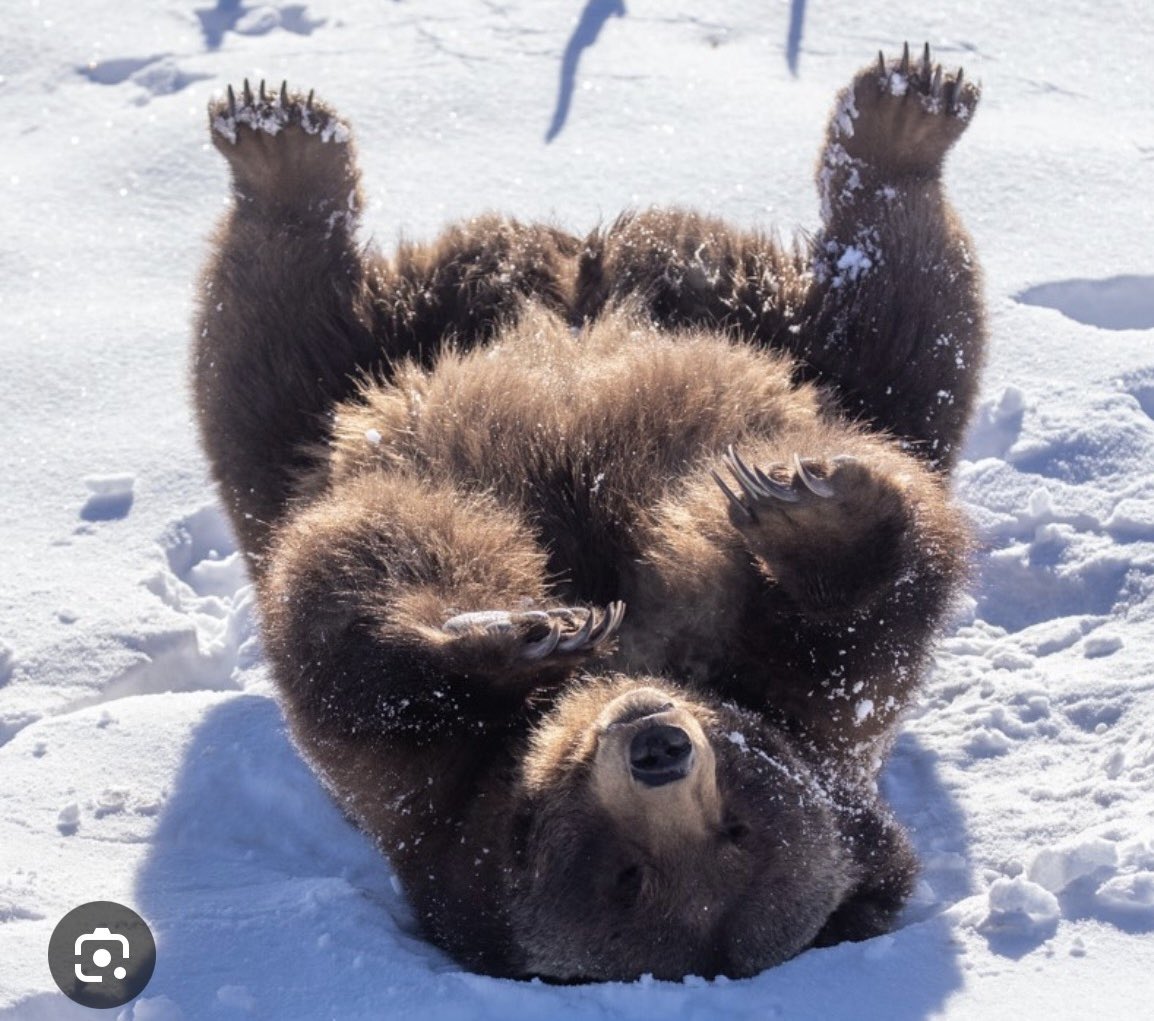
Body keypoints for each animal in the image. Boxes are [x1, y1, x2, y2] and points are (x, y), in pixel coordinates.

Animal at [192, 44, 983, 982]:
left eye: (737, 831)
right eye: (628, 874)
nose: (658, 746)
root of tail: (579, 263)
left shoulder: (816, 713)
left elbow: (875, 617)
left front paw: (808, 512)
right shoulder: (425, 778)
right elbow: (360, 615)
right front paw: (528, 628)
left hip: (814, 357)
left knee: (913, 314)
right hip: (389, 368)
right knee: (261, 342)